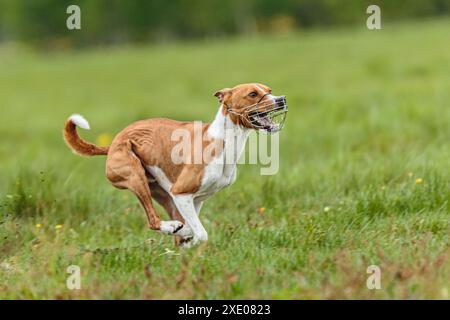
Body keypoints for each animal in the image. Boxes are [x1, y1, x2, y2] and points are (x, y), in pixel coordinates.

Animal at [62, 83, 286, 248]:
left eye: (269, 91)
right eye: (253, 94)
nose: (281, 100)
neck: (223, 141)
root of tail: (112, 144)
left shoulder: (194, 199)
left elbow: (193, 228)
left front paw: (185, 238)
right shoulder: (181, 193)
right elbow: (201, 233)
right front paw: (187, 237)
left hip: (163, 194)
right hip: (136, 176)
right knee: (153, 220)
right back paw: (172, 228)